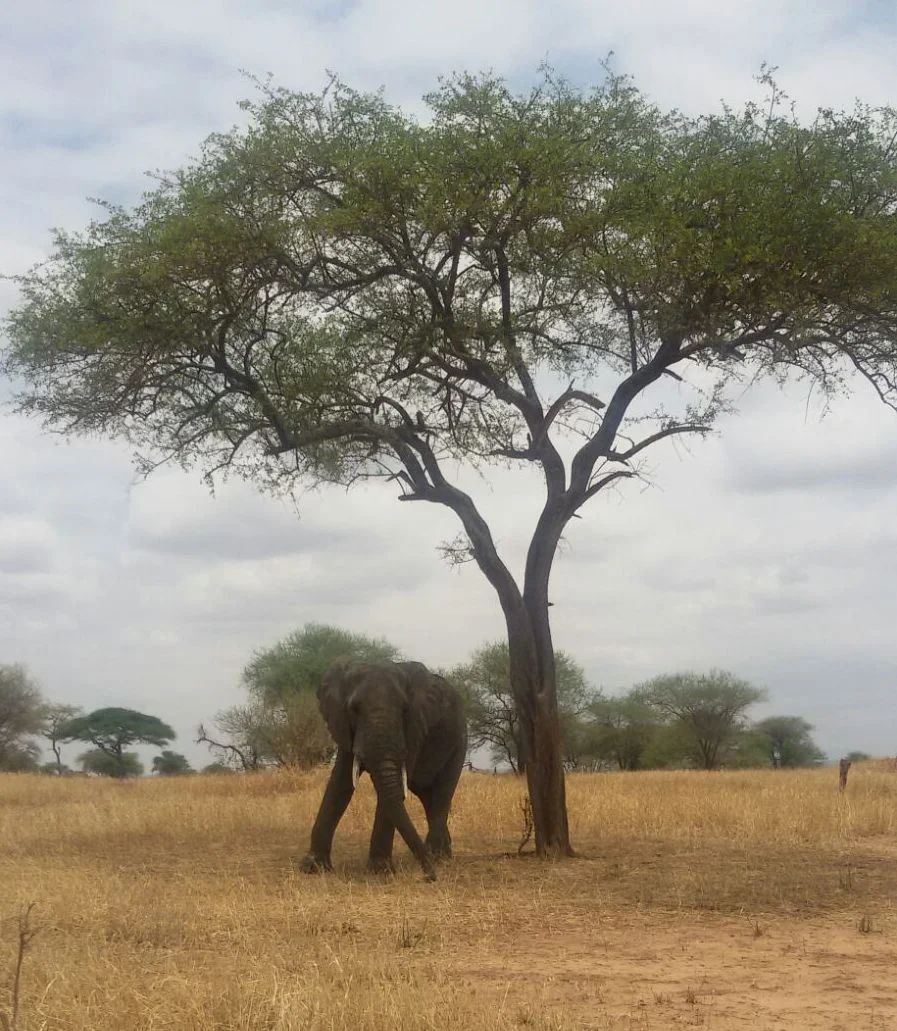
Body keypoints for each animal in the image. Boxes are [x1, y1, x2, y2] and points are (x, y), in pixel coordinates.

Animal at [299, 657, 468, 881]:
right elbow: (340, 783)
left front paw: (380, 871)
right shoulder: (345, 726)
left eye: (404, 709)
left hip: (459, 742)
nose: (429, 877)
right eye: (354, 708)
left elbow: (388, 793)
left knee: (442, 793)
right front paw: (313, 867)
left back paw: (438, 857)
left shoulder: (414, 729)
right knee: (428, 798)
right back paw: (440, 855)